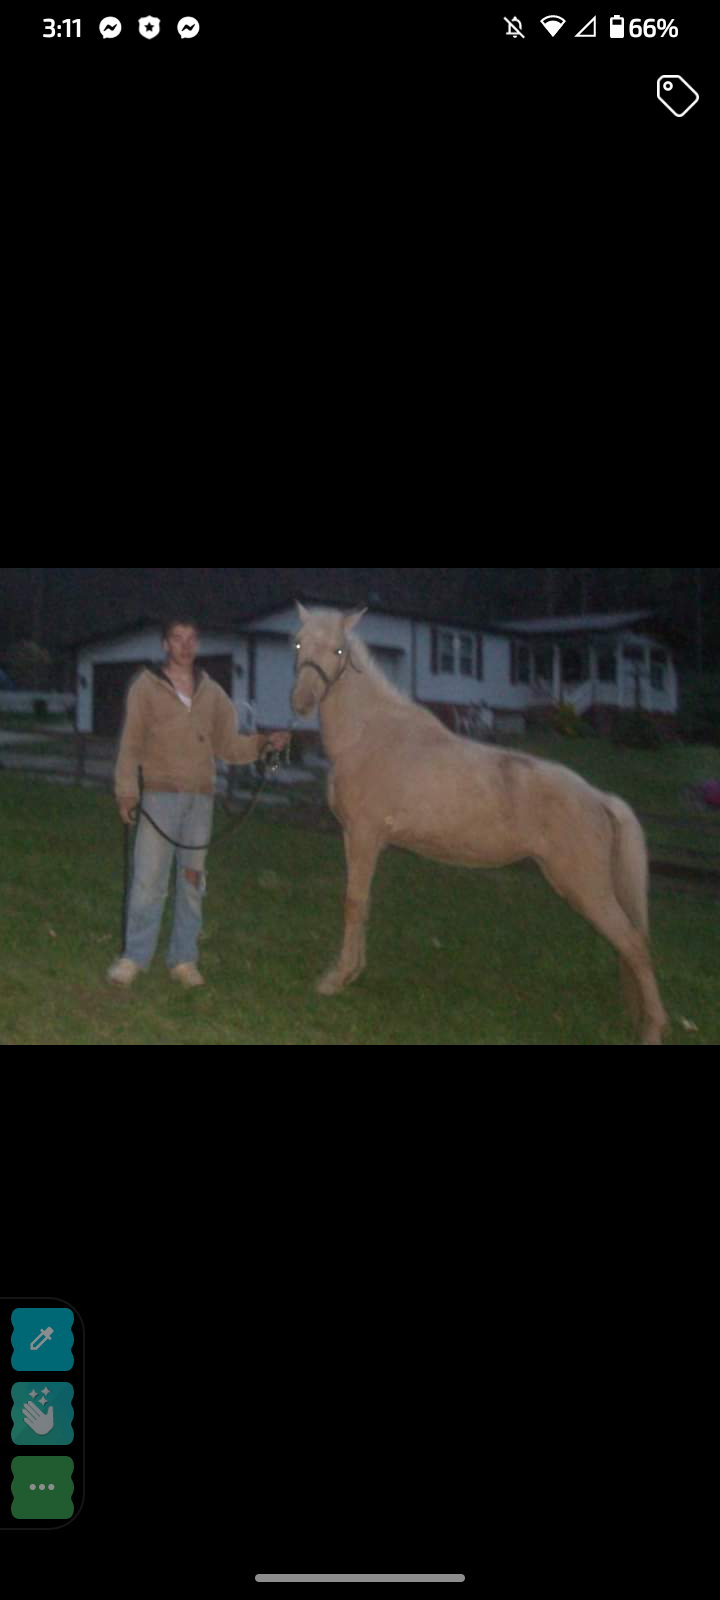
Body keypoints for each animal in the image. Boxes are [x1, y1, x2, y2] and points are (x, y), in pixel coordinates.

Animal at [291, 605, 668, 1044]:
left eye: (338, 649)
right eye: (298, 642)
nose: (302, 701)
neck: (370, 734)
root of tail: (599, 798)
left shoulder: (365, 836)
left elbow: (352, 903)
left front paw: (335, 979)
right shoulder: (359, 839)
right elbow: (362, 904)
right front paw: (352, 971)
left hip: (585, 889)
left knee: (635, 944)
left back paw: (653, 1029)